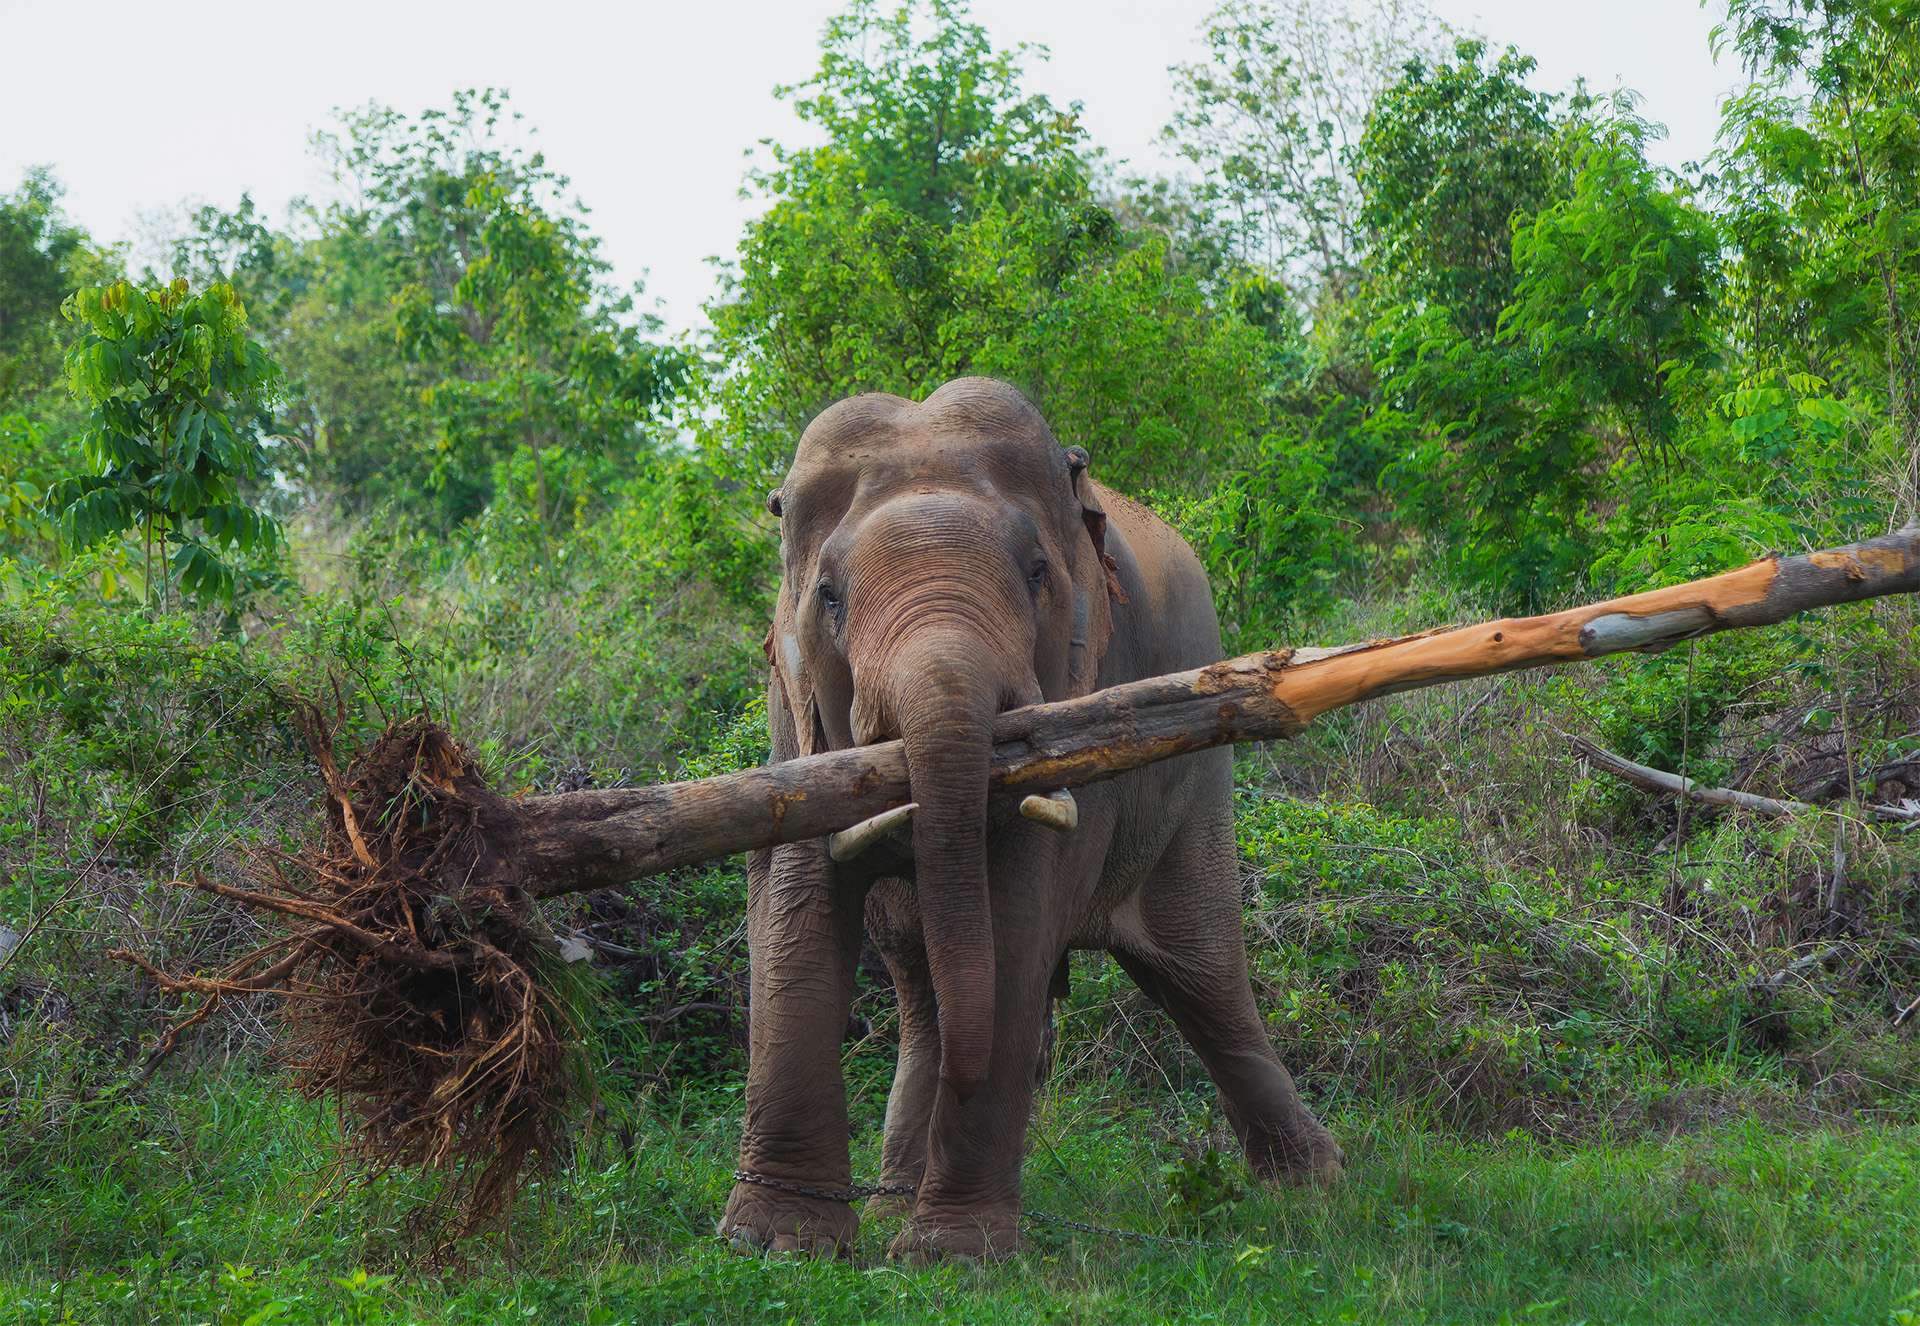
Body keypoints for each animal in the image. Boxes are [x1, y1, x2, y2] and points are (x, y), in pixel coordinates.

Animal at [714, 378, 1344, 1258]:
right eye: (828, 598)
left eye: (1039, 573)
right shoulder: (792, 707)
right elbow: (795, 902)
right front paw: (774, 1243)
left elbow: (1016, 919)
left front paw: (951, 1256)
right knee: (928, 993)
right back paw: (893, 1203)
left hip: (1195, 790)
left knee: (1203, 976)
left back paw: (1315, 1192)